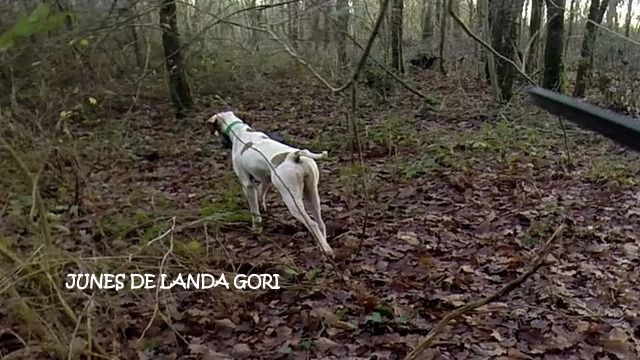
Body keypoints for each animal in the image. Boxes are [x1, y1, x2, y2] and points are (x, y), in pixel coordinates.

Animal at [208, 111, 336, 258]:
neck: (240, 132)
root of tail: (294, 156)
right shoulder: (266, 179)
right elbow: (262, 192)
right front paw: (263, 206)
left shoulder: (247, 184)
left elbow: (254, 211)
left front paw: (256, 229)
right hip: (311, 193)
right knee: (320, 223)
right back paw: (323, 246)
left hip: (292, 200)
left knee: (312, 224)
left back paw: (326, 249)